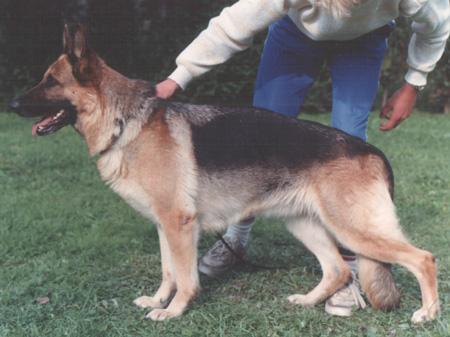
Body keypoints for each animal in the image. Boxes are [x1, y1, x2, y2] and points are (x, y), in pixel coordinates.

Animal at [9, 25, 440, 322]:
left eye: (51, 81)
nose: (11, 104)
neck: (125, 122)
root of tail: (373, 151)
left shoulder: (179, 225)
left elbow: (185, 278)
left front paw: (174, 311)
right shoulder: (166, 226)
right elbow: (168, 271)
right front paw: (158, 300)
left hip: (354, 230)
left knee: (423, 258)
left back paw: (427, 314)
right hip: (304, 225)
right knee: (335, 270)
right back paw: (307, 301)